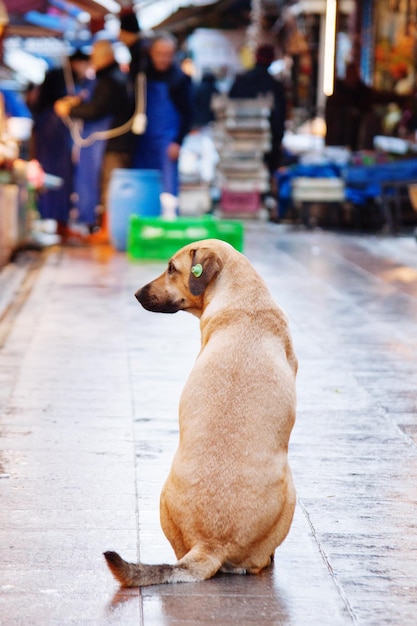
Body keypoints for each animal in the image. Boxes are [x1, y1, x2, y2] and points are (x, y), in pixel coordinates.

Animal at [105, 236, 298, 584]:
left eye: (171, 268)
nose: (137, 293)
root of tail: (210, 545)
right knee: (259, 562)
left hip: (163, 497)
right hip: (291, 494)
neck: (243, 296)